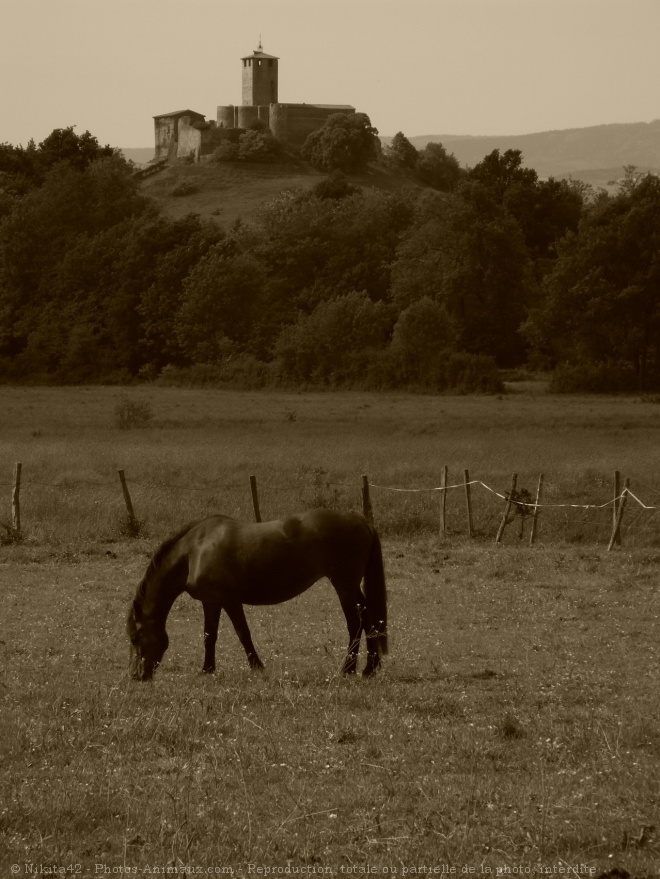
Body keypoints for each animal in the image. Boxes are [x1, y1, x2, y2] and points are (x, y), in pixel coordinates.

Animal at [125, 508, 386, 680]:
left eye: (135, 637)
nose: (136, 675)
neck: (194, 551)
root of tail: (362, 521)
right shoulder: (212, 602)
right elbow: (209, 635)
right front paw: (207, 669)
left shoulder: (230, 600)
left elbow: (243, 633)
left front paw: (257, 666)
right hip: (349, 586)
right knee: (369, 620)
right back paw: (367, 668)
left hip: (344, 585)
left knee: (357, 623)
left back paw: (351, 669)